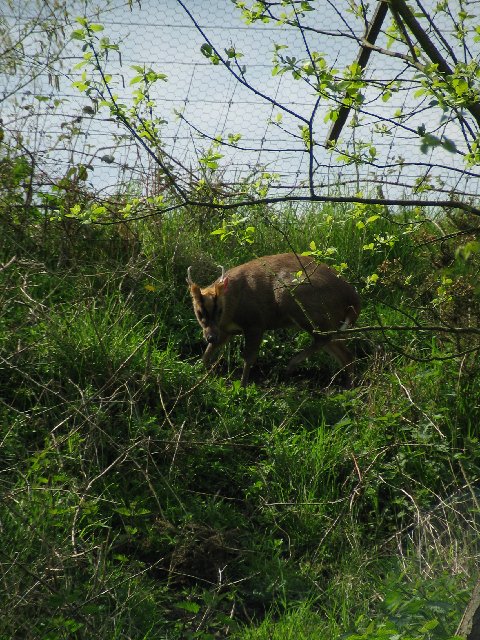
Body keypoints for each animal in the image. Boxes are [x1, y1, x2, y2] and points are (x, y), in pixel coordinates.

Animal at [188, 254, 360, 384]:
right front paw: (197, 372)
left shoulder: (255, 322)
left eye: (219, 310)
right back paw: (349, 388)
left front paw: (243, 386)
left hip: (297, 300)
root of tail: (354, 299)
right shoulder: (225, 331)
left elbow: (248, 356)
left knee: (324, 339)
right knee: (345, 354)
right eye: (199, 312)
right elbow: (208, 352)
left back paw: (289, 367)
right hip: (329, 321)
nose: (210, 336)